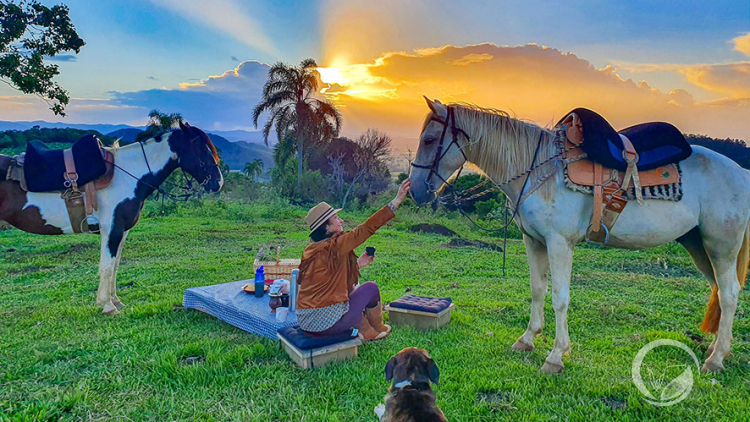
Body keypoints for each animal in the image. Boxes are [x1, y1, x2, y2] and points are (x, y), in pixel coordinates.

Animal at [0, 121, 223, 314]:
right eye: (203, 149)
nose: (218, 183)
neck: (128, 175)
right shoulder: (111, 229)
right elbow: (107, 266)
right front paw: (107, 306)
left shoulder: (122, 230)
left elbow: (115, 265)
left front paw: (115, 300)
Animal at [412, 98, 750, 372]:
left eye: (429, 139)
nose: (416, 191)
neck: (537, 169)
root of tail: (741, 172)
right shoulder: (533, 241)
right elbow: (537, 289)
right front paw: (527, 339)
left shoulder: (559, 243)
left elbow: (560, 298)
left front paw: (555, 356)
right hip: (698, 244)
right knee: (719, 290)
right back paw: (718, 348)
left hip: (721, 245)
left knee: (730, 292)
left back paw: (715, 359)